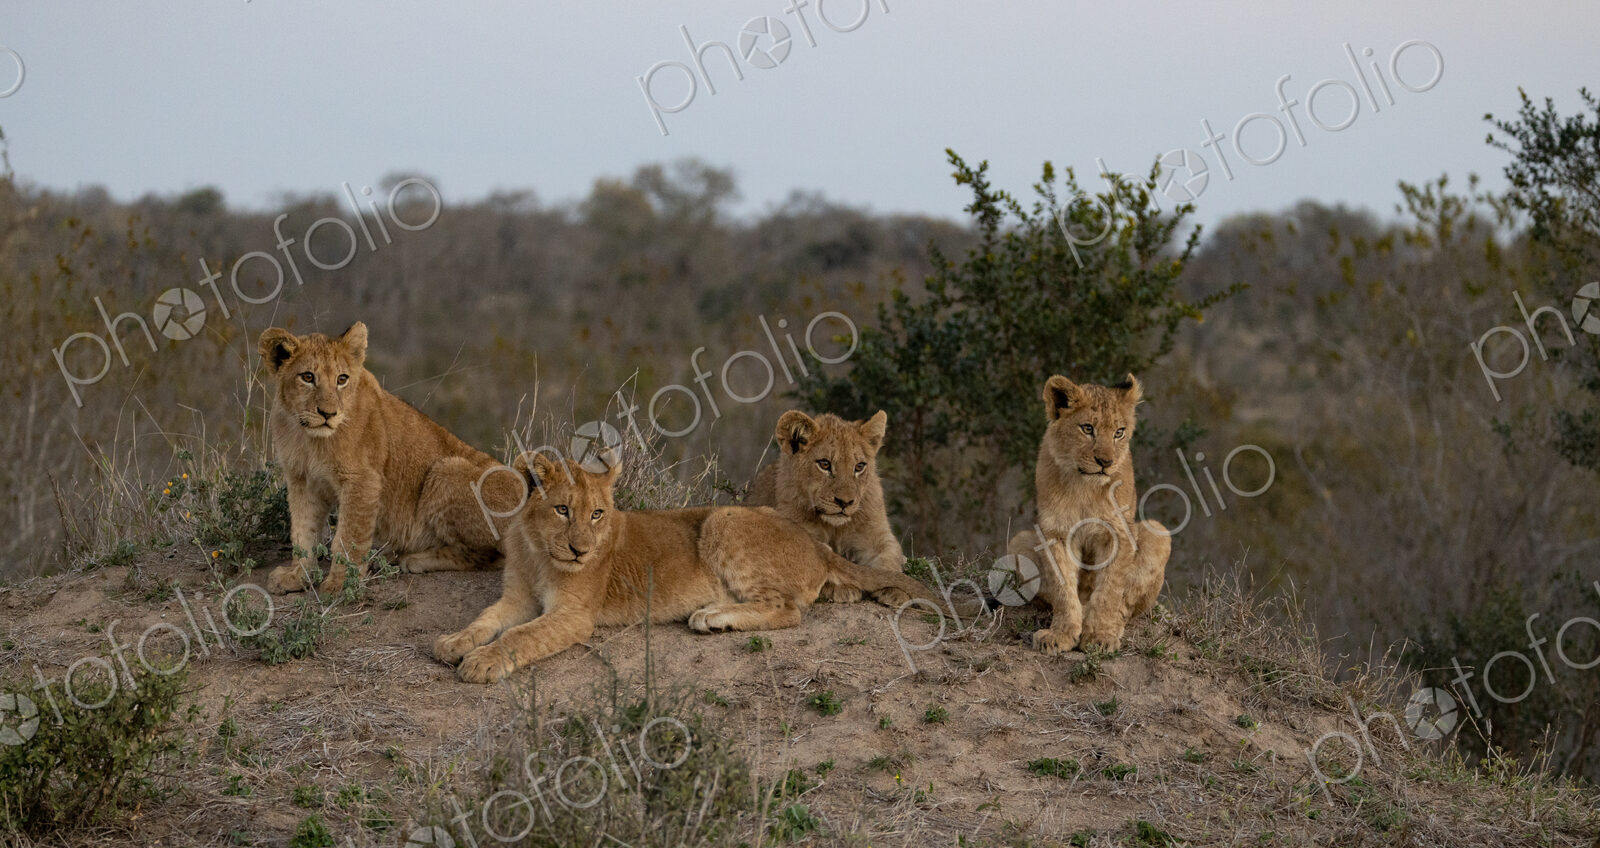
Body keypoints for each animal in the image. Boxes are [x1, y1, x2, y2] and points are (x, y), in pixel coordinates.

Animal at [257, 322, 521, 595]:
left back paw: (414, 559)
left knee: (492, 555)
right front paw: (297, 576)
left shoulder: (363, 480)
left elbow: (348, 537)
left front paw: (340, 584)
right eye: (308, 377)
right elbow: (303, 532)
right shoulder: (302, 480)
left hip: (446, 469)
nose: (328, 414)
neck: (308, 438)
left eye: (342, 379)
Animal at [434, 453, 940, 684]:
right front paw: (453, 642)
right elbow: (486, 620)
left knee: (788, 610)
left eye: (597, 514)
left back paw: (712, 617)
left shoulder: (575, 615)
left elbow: (521, 636)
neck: (540, 550)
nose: (580, 551)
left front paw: (481, 662)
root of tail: (816, 543)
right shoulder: (516, 597)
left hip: (723, 518)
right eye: (562, 510)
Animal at [746, 410, 904, 602]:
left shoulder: (876, 535)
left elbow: (889, 558)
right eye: (825, 464)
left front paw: (897, 589)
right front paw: (842, 588)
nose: (845, 502)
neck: (835, 526)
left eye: (859, 466)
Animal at [1006, 375, 1170, 654]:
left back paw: (1112, 625)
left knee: (1125, 606)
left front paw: (1100, 635)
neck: (1085, 486)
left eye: (1119, 432)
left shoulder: (1119, 533)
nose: (1105, 462)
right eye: (1087, 428)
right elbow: (1062, 587)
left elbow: (1110, 589)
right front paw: (1060, 634)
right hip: (1019, 542)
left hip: (1158, 532)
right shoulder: (1055, 533)